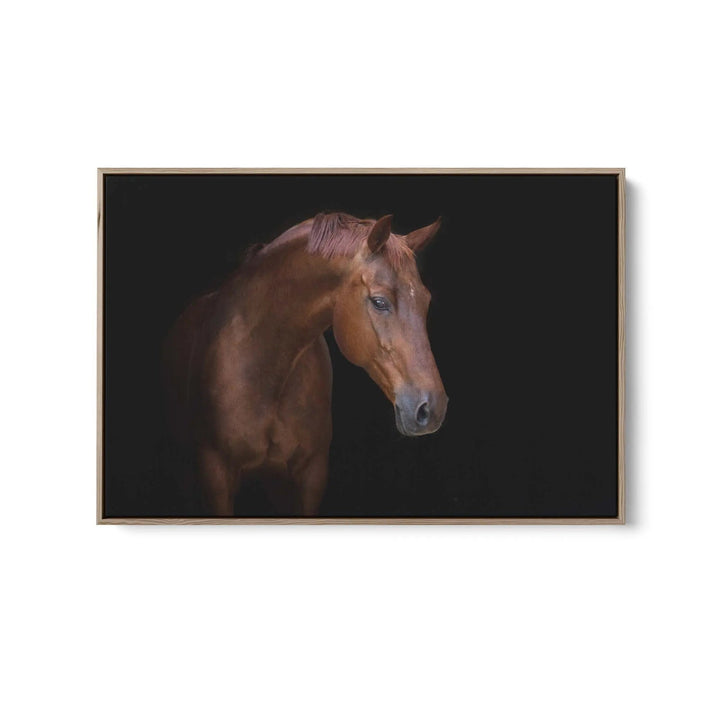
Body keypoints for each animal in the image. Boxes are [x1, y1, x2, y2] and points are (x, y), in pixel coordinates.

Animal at [164, 212, 448, 516]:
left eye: (426, 301)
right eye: (379, 301)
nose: (432, 408)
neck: (265, 366)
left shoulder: (310, 475)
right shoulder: (215, 474)